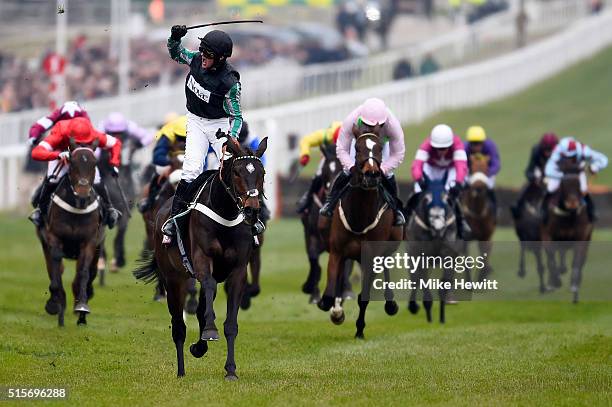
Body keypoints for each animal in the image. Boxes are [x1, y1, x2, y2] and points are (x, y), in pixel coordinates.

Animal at [35, 140, 104, 328]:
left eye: (94, 163)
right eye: (72, 162)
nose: (82, 194)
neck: (77, 208)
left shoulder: (89, 242)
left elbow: (84, 273)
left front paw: (82, 306)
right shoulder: (53, 238)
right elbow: (55, 270)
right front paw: (55, 304)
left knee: (88, 273)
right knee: (53, 268)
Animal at [134, 138, 268, 380]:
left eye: (261, 173)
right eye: (236, 172)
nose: (252, 210)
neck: (225, 214)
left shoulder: (238, 271)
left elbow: (229, 323)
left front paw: (230, 370)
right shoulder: (202, 261)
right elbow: (208, 286)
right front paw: (209, 333)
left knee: (200, 310)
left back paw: (199, 346)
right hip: (172, 278)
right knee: (178, 325)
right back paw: (181, 371)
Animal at [316, 126, 402, 340]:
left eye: (379, 147)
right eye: (357, 148)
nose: (371, 174)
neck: (359, 216)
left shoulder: (371, 256)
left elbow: (364, 297)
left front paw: (360, 330)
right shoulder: (337, 250)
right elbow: (329, 293)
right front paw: (335, 311)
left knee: (386, 266)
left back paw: (390, 303)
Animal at [404, 175, 456, 326]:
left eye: (446, 199)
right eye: (426, 199)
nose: (438, 225)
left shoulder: (449, 253)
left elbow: (445, 284)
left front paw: (442, 317)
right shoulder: (420, 255)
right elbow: (422, 281)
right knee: (415, 279)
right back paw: (413, 306)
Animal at [544, 163, 592, 302]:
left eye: (578, 183)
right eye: (563, 184)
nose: (572, 203)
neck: (567, 215)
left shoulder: (581, 236)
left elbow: (577, 259)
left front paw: (574, 284)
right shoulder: (547, 234)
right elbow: (550, 257)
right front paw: (554, 282)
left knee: (581, 259)